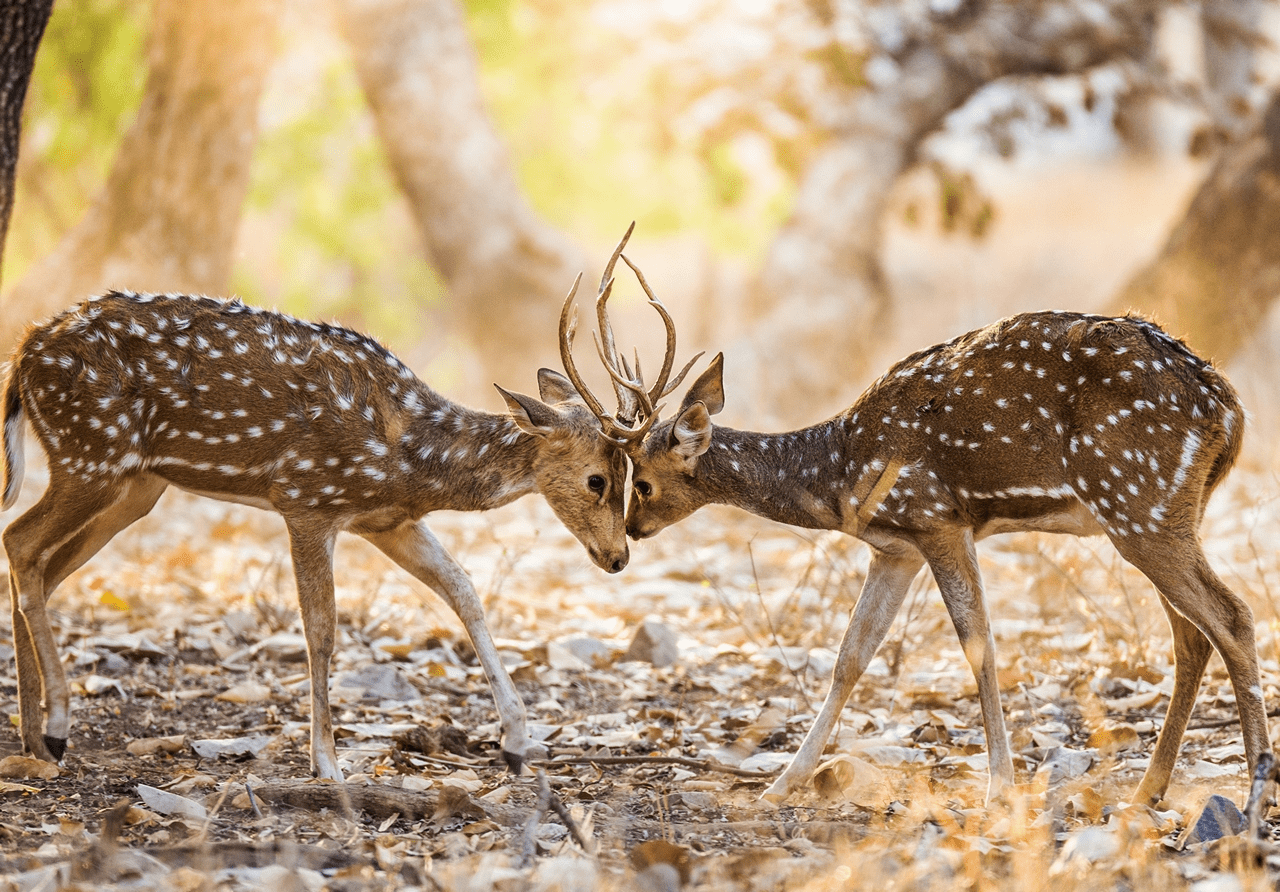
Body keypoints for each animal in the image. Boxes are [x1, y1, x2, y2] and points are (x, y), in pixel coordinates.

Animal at [0, 231, 670, 778]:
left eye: (629, 474)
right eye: (596, 479)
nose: (618, 557)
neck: (410, 457)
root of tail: (25, 352)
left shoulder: (389, 522)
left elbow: (464, 589)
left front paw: (515, 741)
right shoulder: (306, 499)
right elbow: (321, 630)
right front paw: (326, 762)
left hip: (135, 486)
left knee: (42, 566)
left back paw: (33, 740)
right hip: (91, 453)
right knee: (21, 541)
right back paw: (54, 729)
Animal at [581, 245, 1269, 808]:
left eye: (641, 481)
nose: (632, 532)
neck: (839, 471)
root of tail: (1231, 411)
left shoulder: (937, 518)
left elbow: (978, 644)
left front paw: (999, 786)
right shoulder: (896, 549)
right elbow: (851, 655)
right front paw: (782, 784)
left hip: (1137, 501)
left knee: (1231, 617)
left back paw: (1254, 795)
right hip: (1162, 511)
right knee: (1192, 634)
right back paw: (1151, 790)